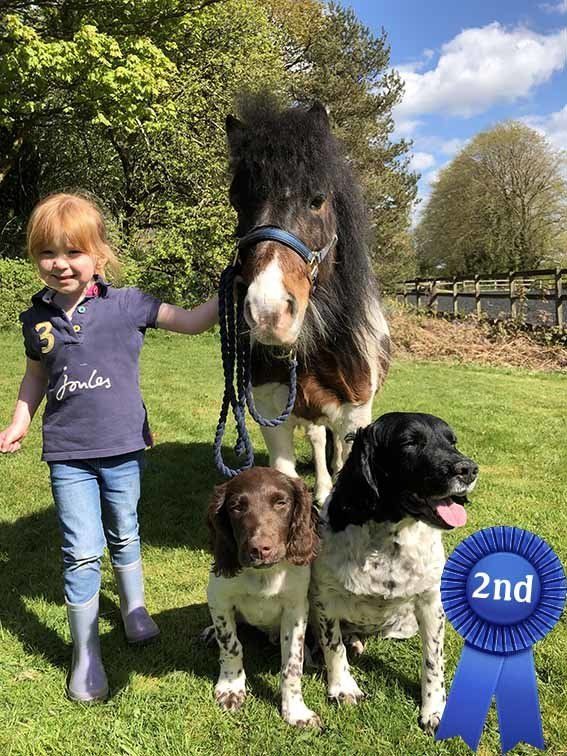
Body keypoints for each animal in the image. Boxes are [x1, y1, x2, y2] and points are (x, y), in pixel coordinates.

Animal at [205, 467, 321, 728]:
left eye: (281, 503)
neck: (264, 575)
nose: (259, 549)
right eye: (236, 507)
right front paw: (231, 688)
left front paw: (296, 711)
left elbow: (292, 663)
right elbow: (231, 645)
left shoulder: (296, 610)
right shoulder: (219, 599)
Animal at [226, 98, 391, 502]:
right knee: (316, 437)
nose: (268, 313)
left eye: (317, 200)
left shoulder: (353, 418)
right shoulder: (272, 413)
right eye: (237, 202)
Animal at [310, 412, 478, 734]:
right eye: (409, 443)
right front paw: (343, 687)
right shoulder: (325, 598)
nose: (469, 469)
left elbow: (433, 660)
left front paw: (434, 709)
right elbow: (333, 645)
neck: (389, 538)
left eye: (452, 441)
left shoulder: (431, 604)